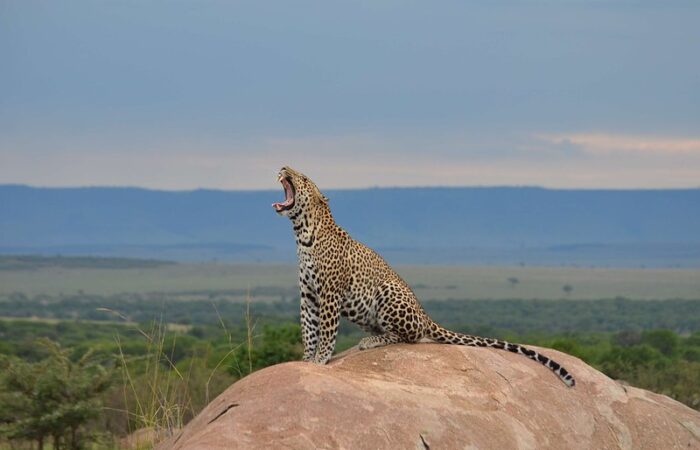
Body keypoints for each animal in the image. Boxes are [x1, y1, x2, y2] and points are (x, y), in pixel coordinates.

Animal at [272, 166, 576, 386]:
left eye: (303, 178)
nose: (284, 166)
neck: (302, 233)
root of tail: (425, 315)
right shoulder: (308, 295)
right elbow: (308, 329)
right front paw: (306, 359)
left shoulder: (330, 293)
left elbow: (326, 331)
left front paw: (320, 360)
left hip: (388, 291)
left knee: (409, 337)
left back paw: (372, 341)